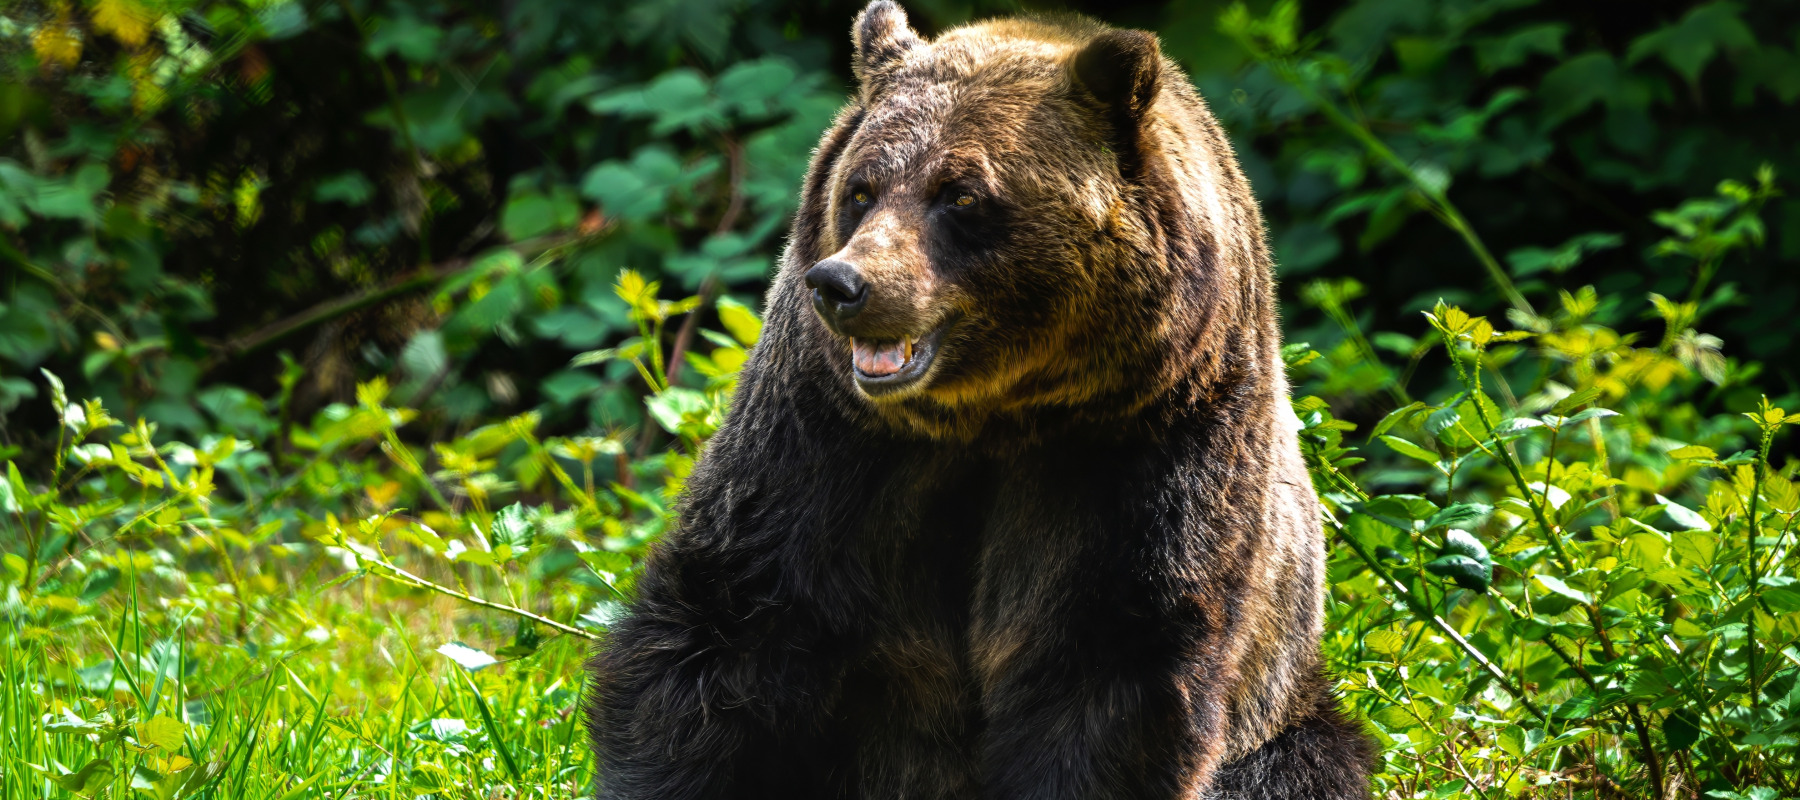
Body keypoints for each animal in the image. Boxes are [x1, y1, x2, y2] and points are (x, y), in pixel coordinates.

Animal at [587, 3, 1377, 799]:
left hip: (1285, 709)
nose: (842, 284)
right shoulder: (824, 433)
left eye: (960, 194)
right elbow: (731, 622)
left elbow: (1107, 667)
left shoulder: (1147, 443)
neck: (992, 414)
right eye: (861, 189)